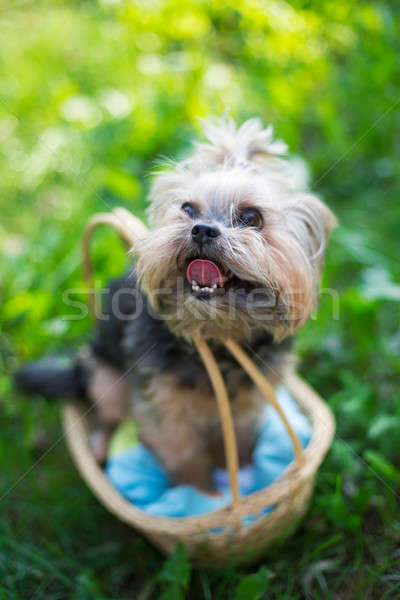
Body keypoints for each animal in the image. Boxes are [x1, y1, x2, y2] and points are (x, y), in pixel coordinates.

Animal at [15, 117, 336, 492]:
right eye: (187, 209)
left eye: (252, 218)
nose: (202, 229)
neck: (216, 338)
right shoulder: (164, 412)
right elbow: (186, 458)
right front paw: (204, 495)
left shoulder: (250, 404)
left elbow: (239, 443)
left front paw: (240, 472)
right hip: (106, 379)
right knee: (107, 417)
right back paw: (99, 447)